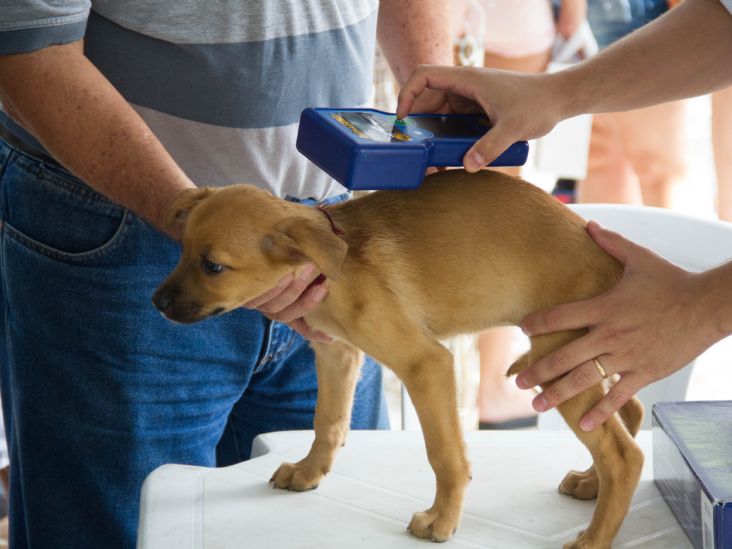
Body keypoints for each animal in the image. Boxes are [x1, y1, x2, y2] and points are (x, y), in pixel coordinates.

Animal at [153, 171, 640, 548]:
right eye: (181, 249)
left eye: (213, 266)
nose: (156, 304)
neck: (338, 269)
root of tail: (611, 260)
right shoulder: (336, 352)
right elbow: (328, 421)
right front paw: (310, 472)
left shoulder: (426, 364)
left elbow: (444, 454)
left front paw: (442, 520)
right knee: (628, 412)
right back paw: (590, 484)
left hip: (559, 355)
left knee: (623, 454)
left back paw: (594, 537)